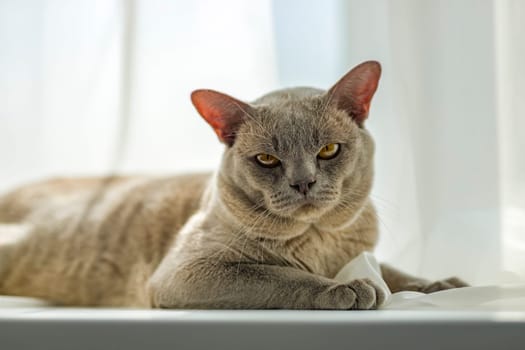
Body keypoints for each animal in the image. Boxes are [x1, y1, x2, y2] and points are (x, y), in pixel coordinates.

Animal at [0, 61, 466, 308]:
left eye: (329, 150)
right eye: (267, 159)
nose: (304, 182)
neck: (319, 242)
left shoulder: (360, 252)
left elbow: (394, 270)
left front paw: (442, 285)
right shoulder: (189, 270)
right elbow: (282, 277)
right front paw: (345, 289)